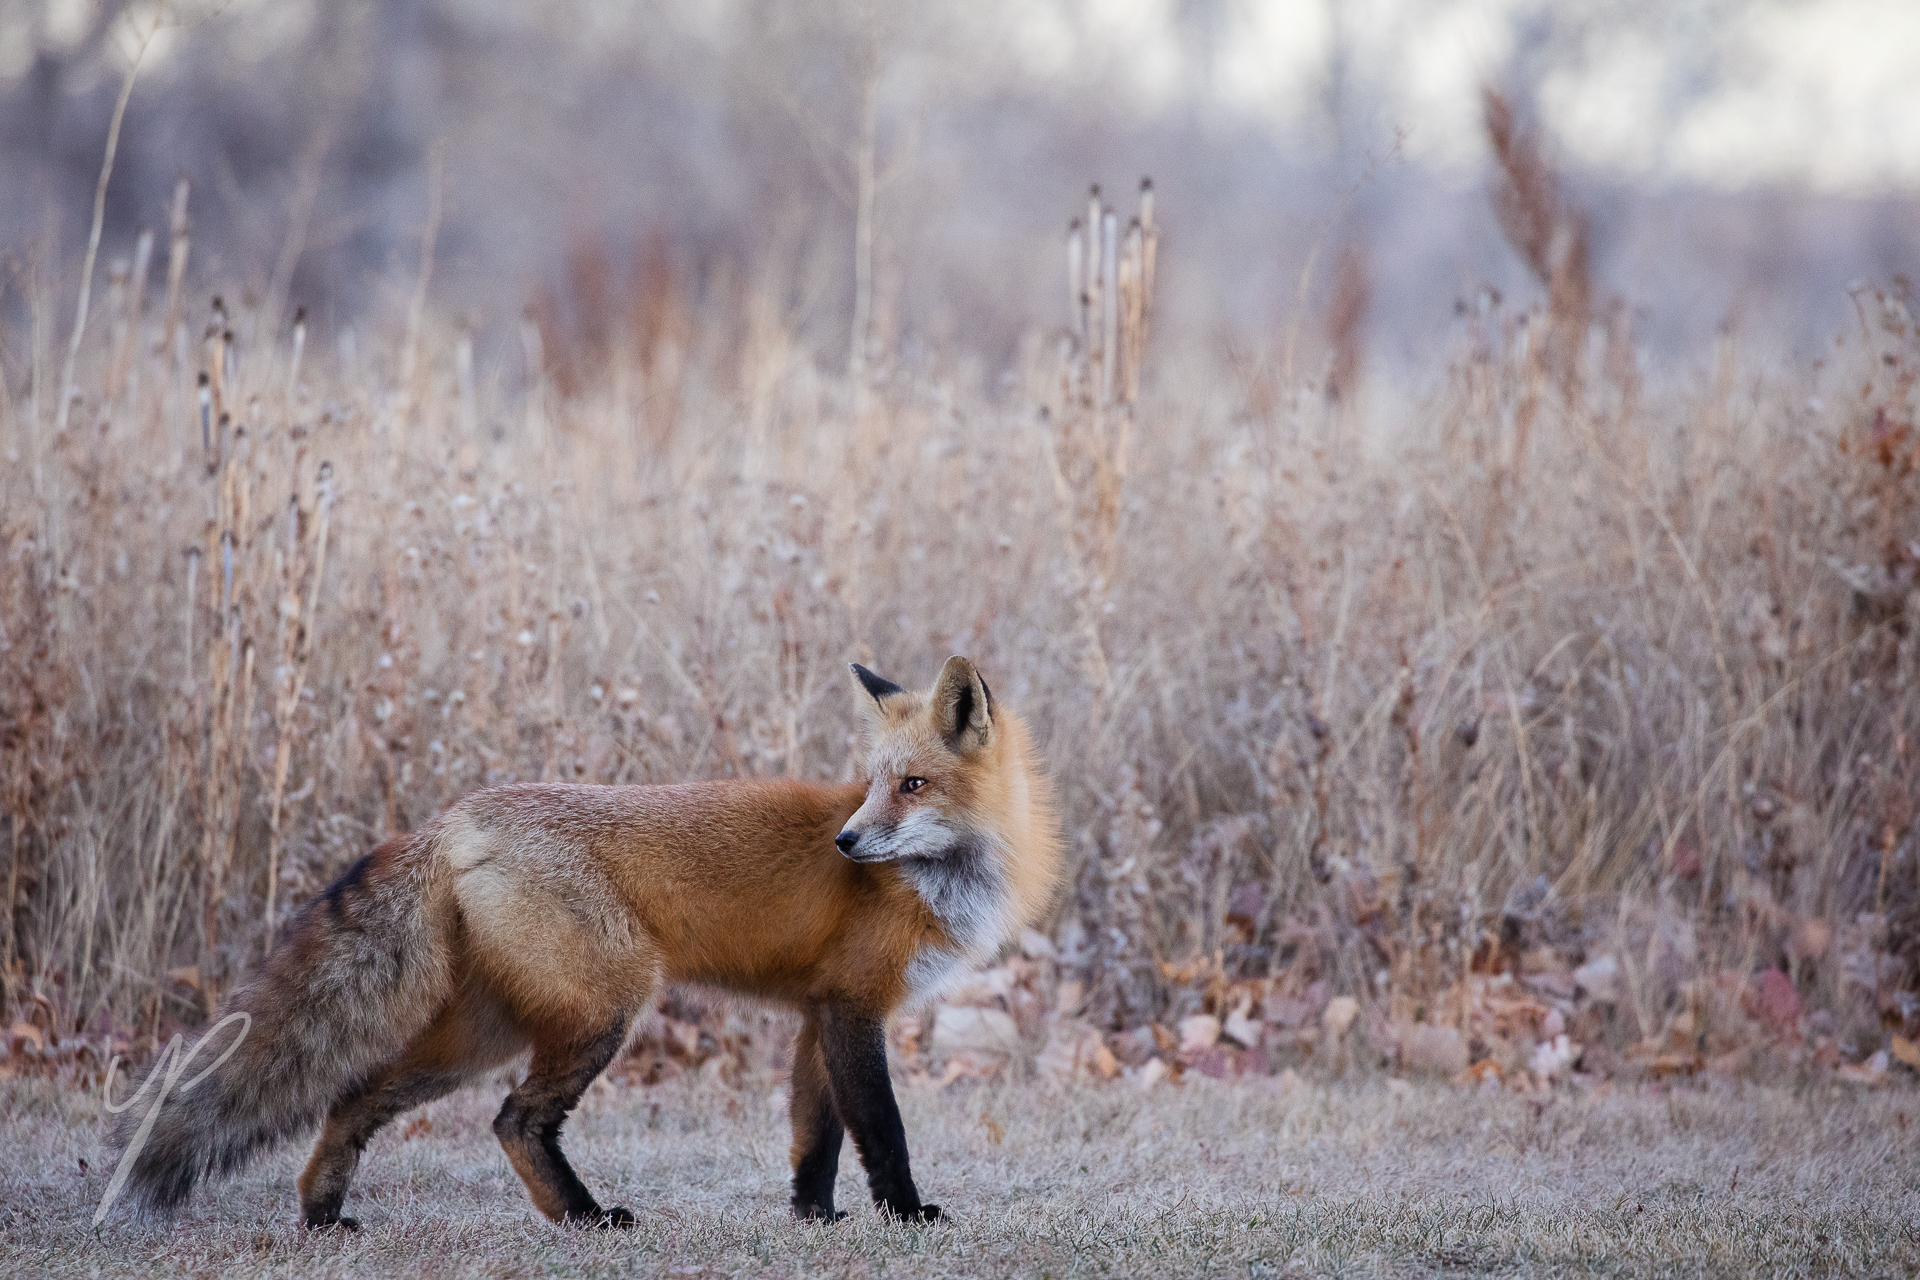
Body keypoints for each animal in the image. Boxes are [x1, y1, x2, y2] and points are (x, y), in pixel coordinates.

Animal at [110, 660, 1059, 1228]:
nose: (848, 843)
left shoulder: (817, 1012)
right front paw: (907, 1214)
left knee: (354, 1097)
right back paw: (586, 1219)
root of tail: (455, 818)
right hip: (607, 1009)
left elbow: (814, 1137)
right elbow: (882, 1129)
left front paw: (813, 1220)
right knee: (514, 1118)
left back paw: (320, 1216)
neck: (947, 879)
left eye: (912, 785)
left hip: (481, 1034)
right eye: (871, 785)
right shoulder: (856, 1007)